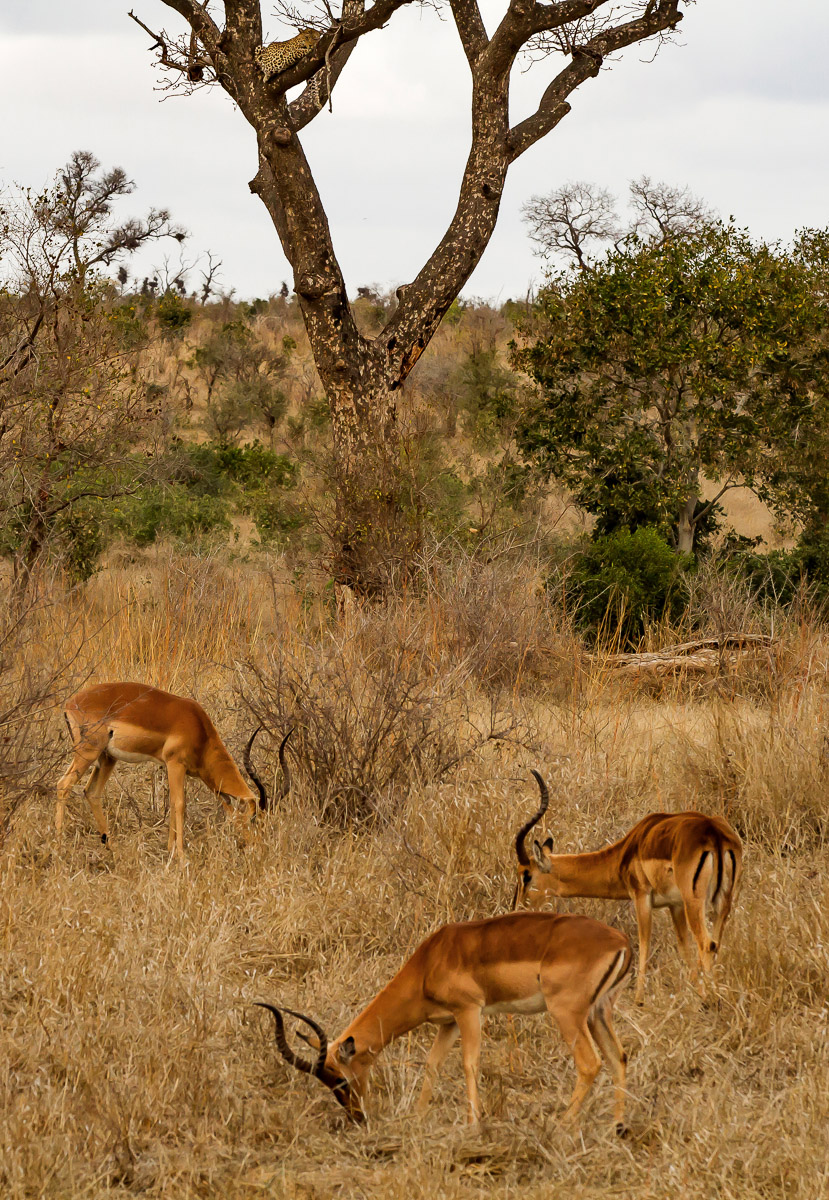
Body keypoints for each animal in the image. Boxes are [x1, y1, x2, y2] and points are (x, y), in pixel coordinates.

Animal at [56, 682, 292, 861]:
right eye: (253, 820)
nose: (258, 848)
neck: (200, 730)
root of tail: (70, 703)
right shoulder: (174, 764)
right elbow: (179, 804)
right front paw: (180, 853)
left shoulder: (178, 769)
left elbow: (172, 803)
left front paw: (170, 849)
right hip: (88, 752)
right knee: (63, 784)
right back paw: (58, 843)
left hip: (107, 757)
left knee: (91, 792)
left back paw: (111, 846)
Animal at [257, 909, 633, 1130]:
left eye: (340, 1080)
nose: (358, 1117)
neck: (430, 960)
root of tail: (621, 942)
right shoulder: (447, 1022)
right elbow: (432, 1065)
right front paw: (418, 1118)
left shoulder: (469, 1011)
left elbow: (469, 1063)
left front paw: (473, 1124)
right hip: (599, 1013)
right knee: (618, 1057)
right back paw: (617, 1127)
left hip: (567, 1013)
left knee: (590, 1063)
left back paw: (560, 1127)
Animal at [513, 771, 743, 1005]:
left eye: (526, 875)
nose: (518, 908)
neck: (628, 850)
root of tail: (713, 831)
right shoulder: (675, 905)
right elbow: (683, 947)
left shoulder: (642, 896)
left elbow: (644, 945)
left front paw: (639, 1000)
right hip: (722, 902)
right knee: (715, 942)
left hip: (694, 902)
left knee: (707, 944)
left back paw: (711, 1000)